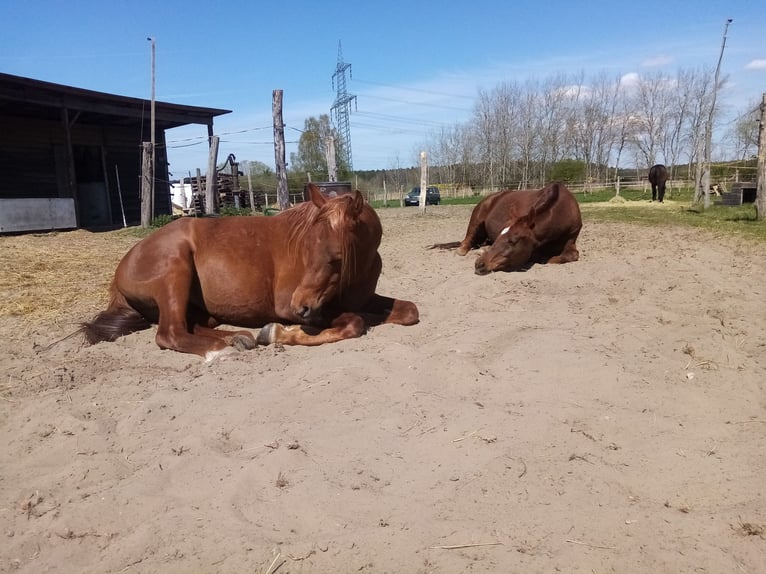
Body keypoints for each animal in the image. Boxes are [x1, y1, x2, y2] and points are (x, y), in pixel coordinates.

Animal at [432, 183, 584, 276]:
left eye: (513, 241)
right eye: (500, 236)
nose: (479, 264)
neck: (563, 210)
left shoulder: (571, 238)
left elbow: (571, 255)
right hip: (476, 220)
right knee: (466, 241)